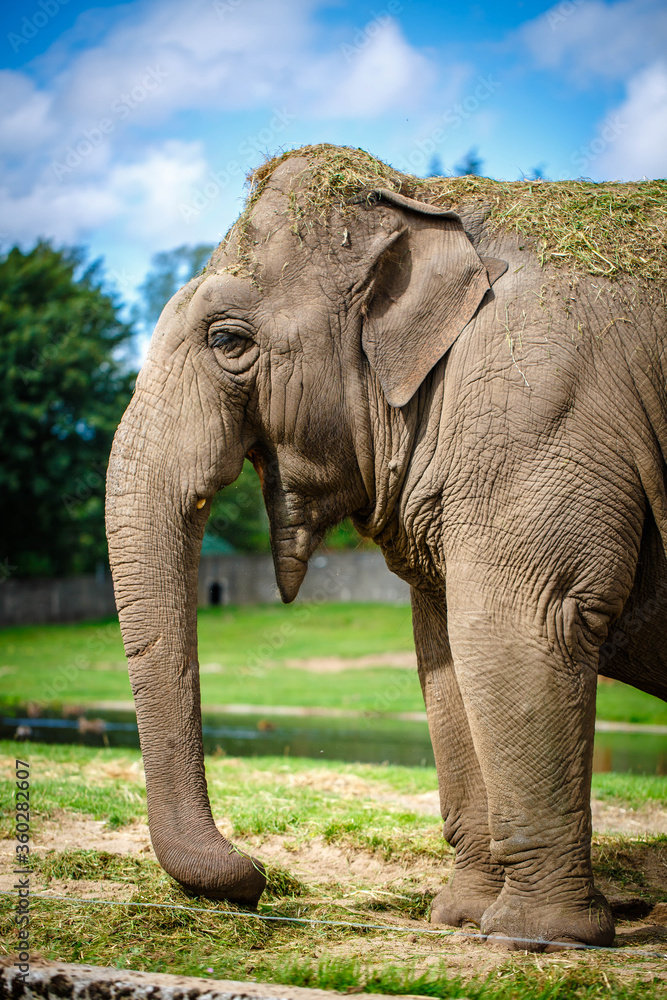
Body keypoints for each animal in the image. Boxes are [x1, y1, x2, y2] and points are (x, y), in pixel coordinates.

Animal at [106, 144, 667, 951]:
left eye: (228, 341)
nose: (255, 878)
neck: (421, 198)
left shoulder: (539, 408)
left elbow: (514, 625)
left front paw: (537, 939)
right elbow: (444, 648)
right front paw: (461, 919)